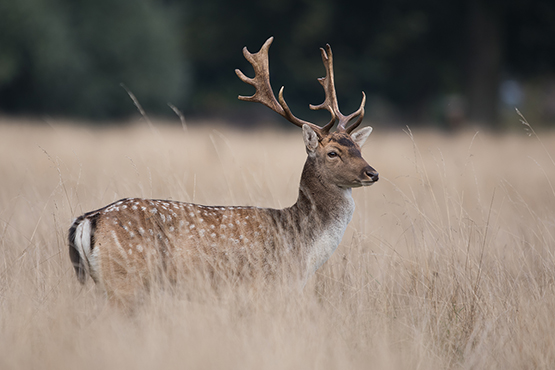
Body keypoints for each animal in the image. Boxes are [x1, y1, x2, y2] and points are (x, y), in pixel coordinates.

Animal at [68, 37, 378, 306]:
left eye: (358, 148)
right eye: (333, 153)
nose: (372, 173)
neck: (300, 245)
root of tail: (91, 219)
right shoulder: (264, 286)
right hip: (126, 279)